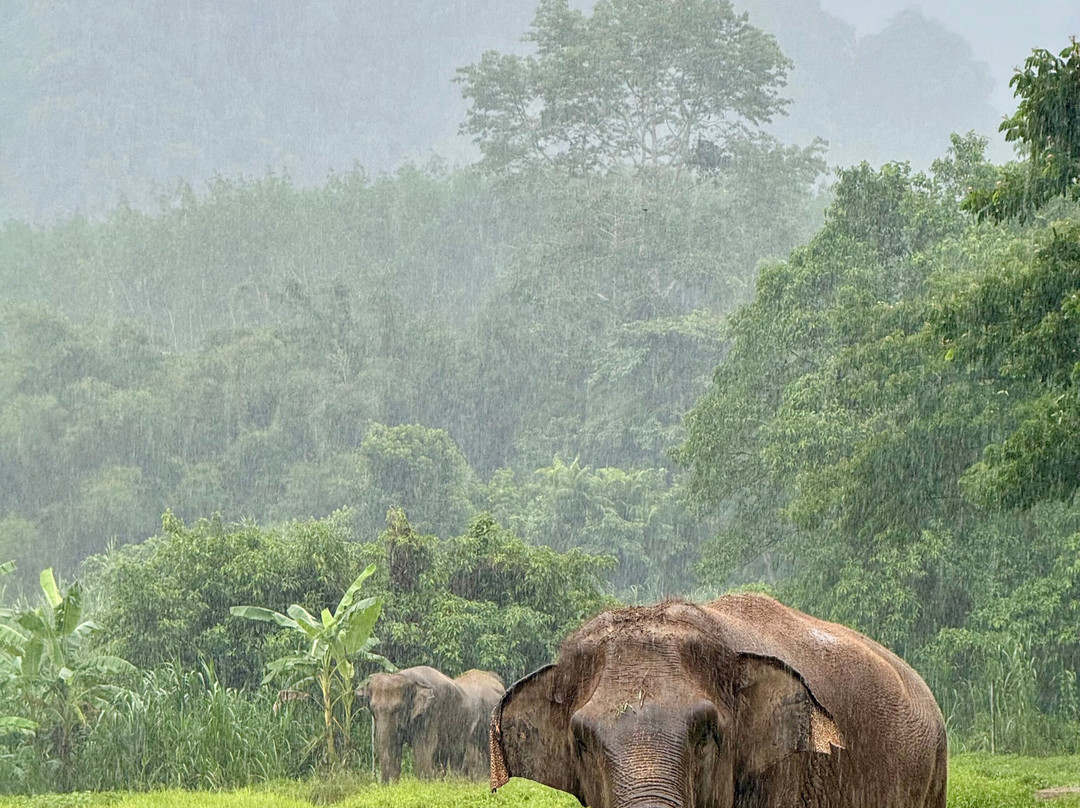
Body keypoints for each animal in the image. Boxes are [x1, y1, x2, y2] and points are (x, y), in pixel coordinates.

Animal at [361, 665, 504, 782]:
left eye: (398, 709)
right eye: (372, 710)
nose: (385, 784)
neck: (408, 678)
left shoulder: (430, 712)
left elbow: (424, 747)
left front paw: (424, 784)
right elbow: (393, 745)